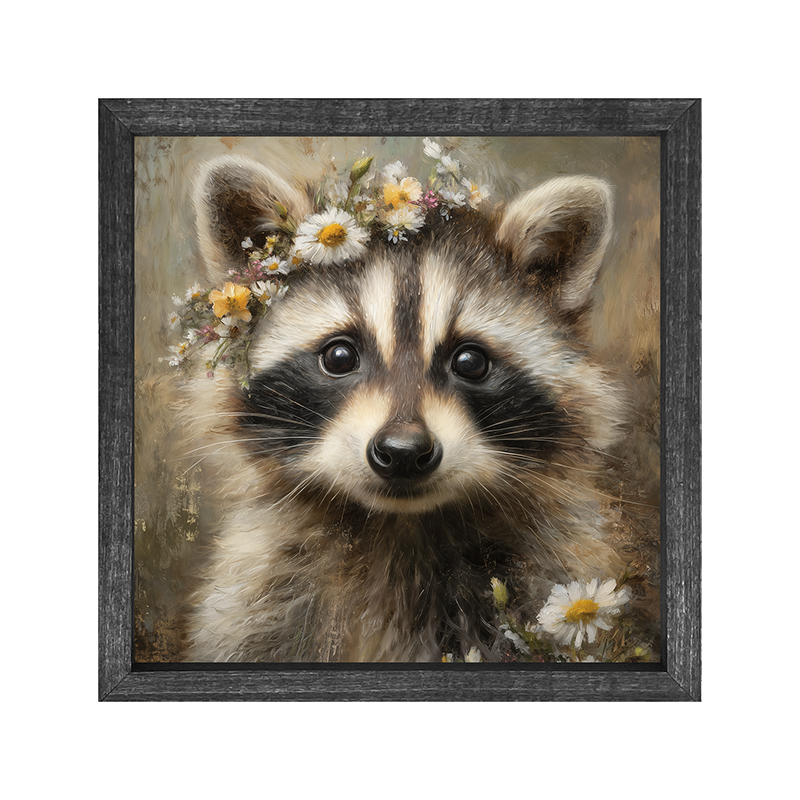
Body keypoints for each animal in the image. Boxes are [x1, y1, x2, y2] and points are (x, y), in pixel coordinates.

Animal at [182, 154, 627, 663]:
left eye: (469, 361)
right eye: (340, 356)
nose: (403, 452)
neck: (400, 527)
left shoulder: (543, 568)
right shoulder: (262, 597)